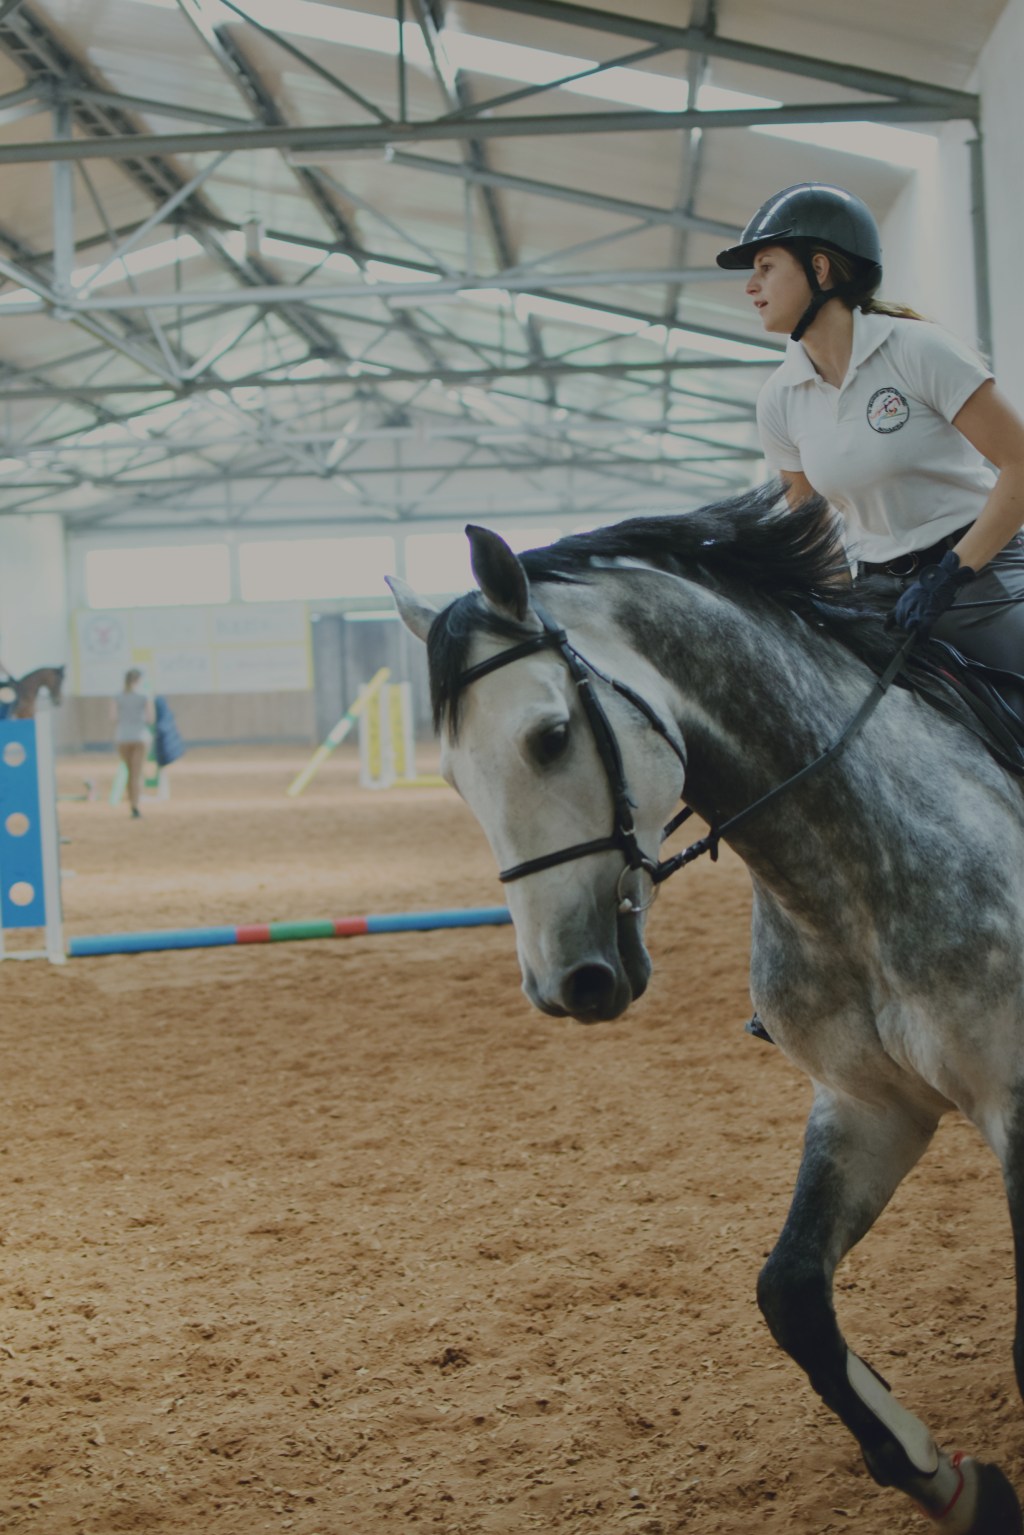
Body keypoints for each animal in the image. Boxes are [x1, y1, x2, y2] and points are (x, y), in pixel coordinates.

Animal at [389, 486, 1024, 1534]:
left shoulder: (1018, 1106)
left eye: (550, 736)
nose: (565, 983)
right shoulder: (866, 1105)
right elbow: (790, 1295)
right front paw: (952, 1481)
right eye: (452, 776)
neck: (851, 876)